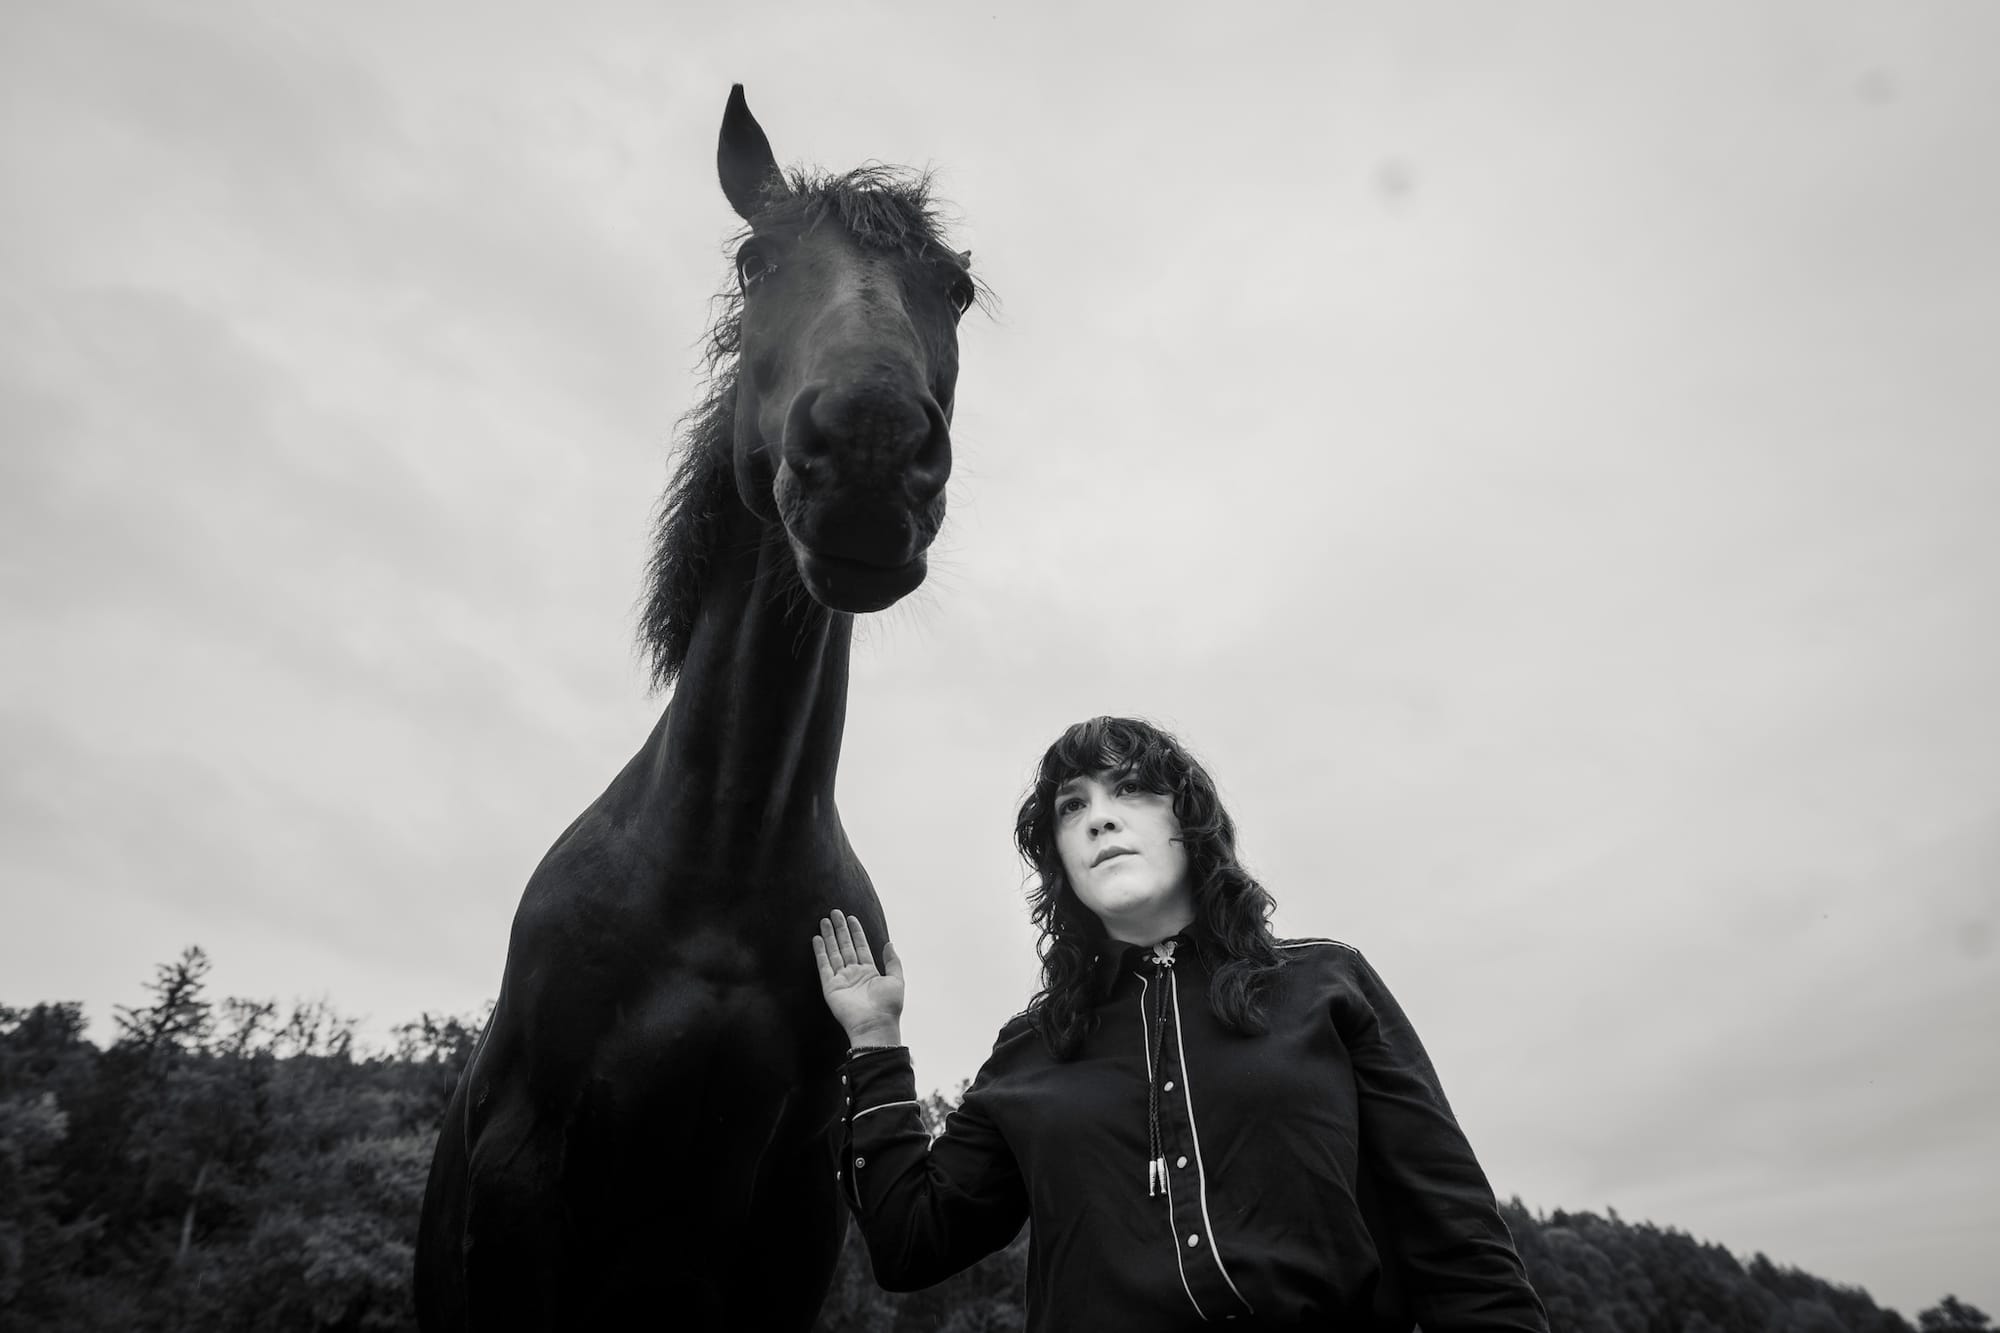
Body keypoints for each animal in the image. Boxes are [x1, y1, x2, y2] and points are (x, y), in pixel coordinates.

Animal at [418, 88, 980, 1320]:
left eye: (957, 288)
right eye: (753, 260)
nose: (869, 450)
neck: (723, 856)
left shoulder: (798, 1204)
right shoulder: (525, 1171)